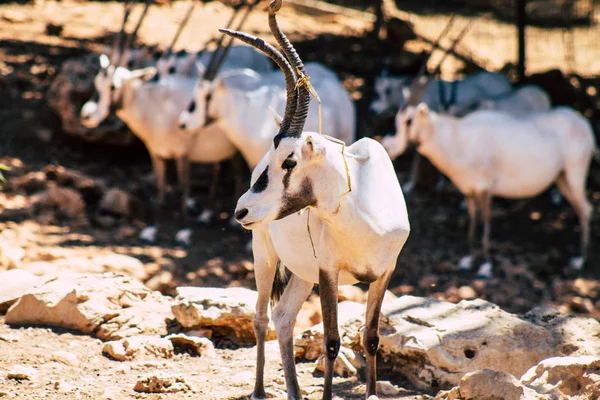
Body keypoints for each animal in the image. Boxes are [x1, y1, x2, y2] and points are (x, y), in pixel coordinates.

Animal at [218, 1, 410, 398]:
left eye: (290, 161)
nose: (242, 210)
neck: (365, 208)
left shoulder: (385, 272)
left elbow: (371, 337)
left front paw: (371, 390)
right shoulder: (329, 273)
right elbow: (332, 341)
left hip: (302, 272)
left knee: (283, 317)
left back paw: (293, 390)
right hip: (265, 253)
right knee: (262, 316)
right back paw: (260, 390)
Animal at [390, 104, 596, 278]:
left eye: (409, 121)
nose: (391, 148)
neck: (457, 138)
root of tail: (584, 124)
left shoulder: (485, 187)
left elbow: (485, 219)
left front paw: (485, 265)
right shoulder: (468, 189)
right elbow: (473, 218)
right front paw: (468, 259)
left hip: (574, 174)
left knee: (586, 209)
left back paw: (580, 260)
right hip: (562, 179)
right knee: (581, 209)